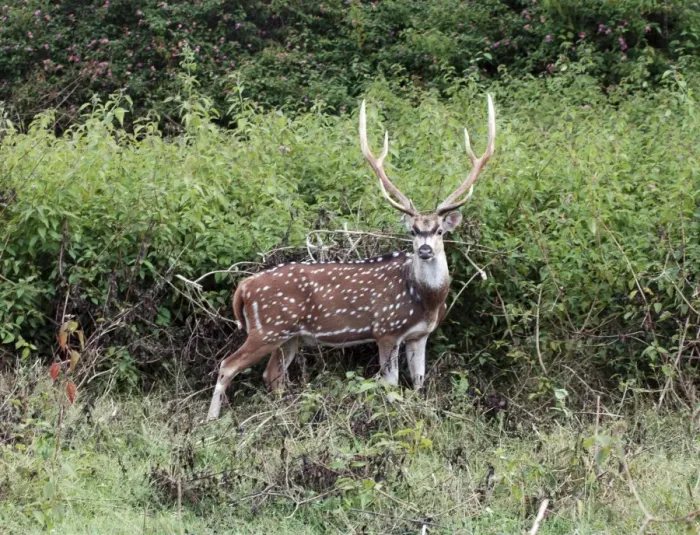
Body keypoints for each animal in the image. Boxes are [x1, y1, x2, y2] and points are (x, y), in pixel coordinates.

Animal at [207, 96, 496, 420]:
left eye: (439, 231)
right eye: (412, 230)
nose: (424, 250)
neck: (426, 300)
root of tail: (243, 288)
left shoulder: (420, 335)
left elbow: (420, 382)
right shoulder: (386, 329)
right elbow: (391, 384)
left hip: (289, 336)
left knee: (272, 375)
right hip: (267, 328)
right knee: (227, 365)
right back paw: (211, 421)